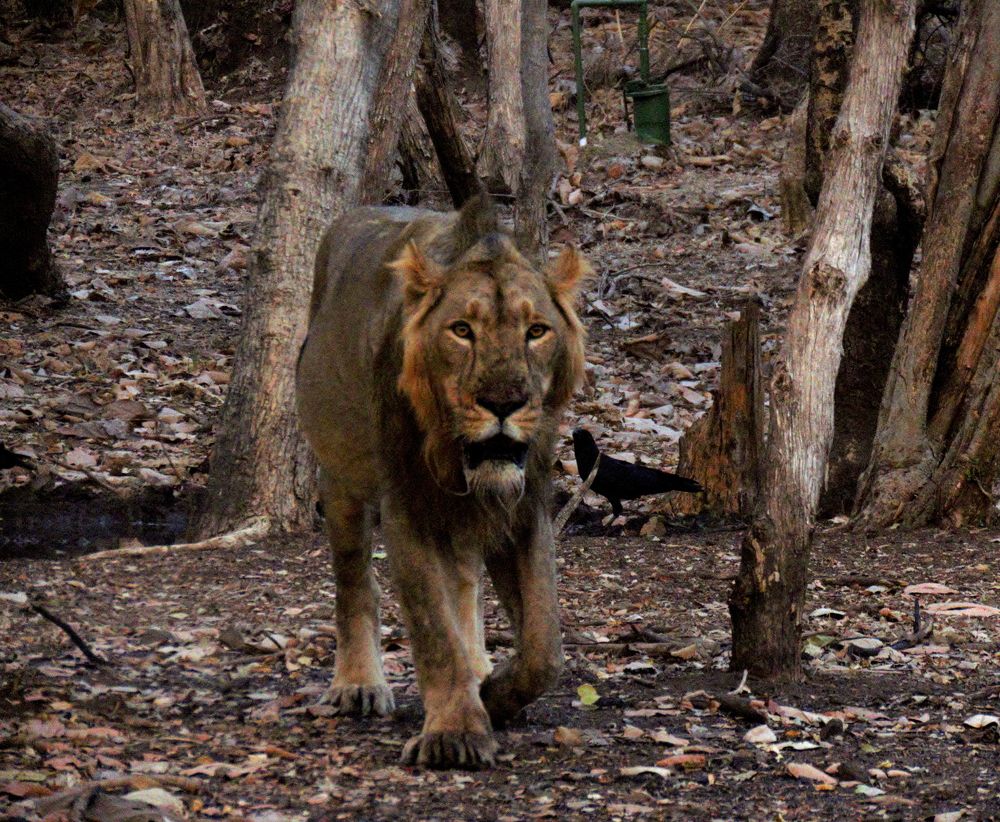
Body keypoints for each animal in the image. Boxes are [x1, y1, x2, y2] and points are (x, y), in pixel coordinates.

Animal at [295, 196, 588, 769]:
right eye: (461, 330)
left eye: (536, 331)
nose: (503, 403)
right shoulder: (406, 507)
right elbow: (434, 629)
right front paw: (455, 732)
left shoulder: (524, 508)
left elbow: (544, 647)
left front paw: (493, 694)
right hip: (340, 477)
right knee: (354, 582)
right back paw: (359, 683)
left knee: (465, 584)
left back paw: (479, 670)